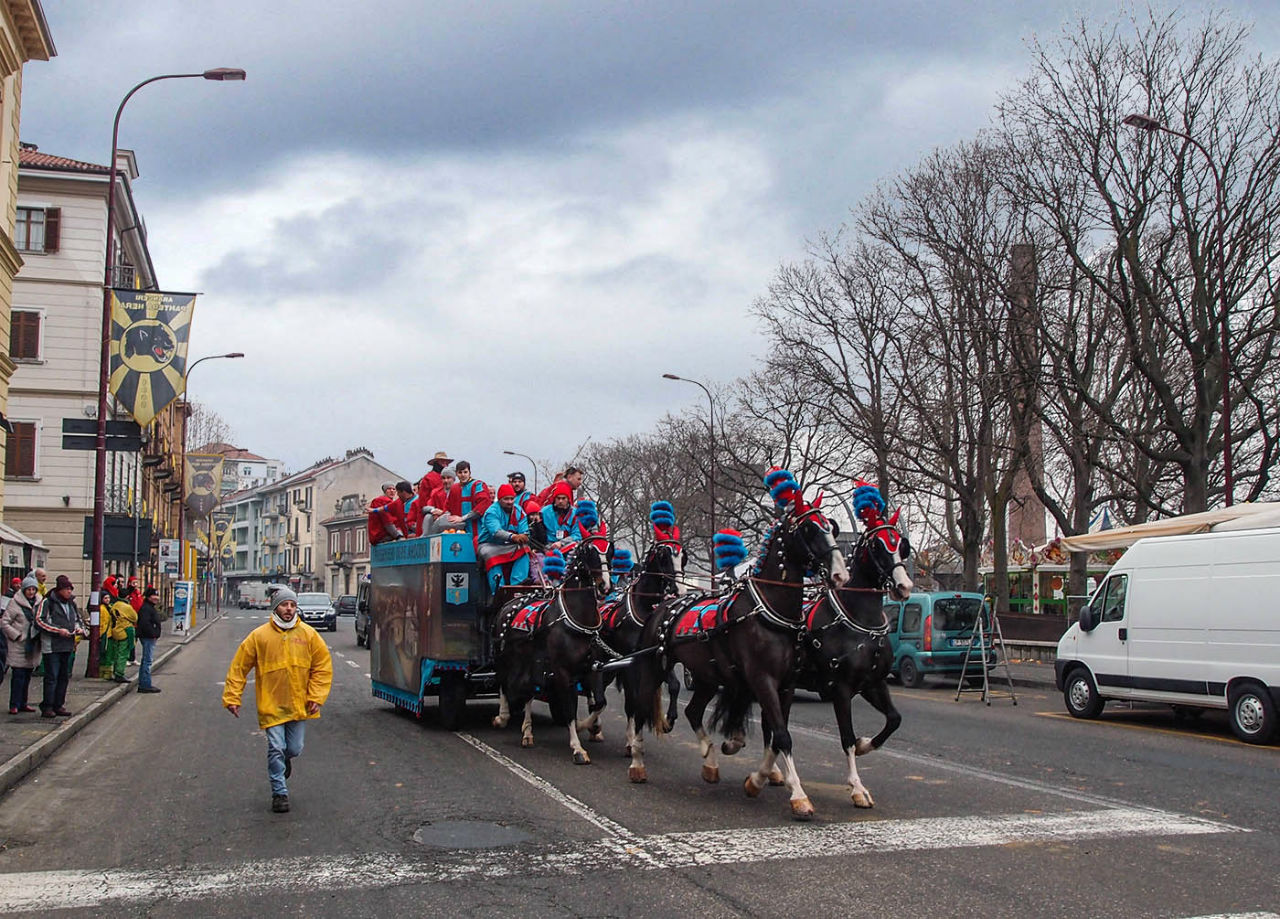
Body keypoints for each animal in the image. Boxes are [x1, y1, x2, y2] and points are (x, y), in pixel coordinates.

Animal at [488, 542, 609, 767]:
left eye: (610, 549)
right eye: (591, 551)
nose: (604, 585)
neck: (577, 620)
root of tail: (511, 602)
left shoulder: (592, 668)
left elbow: (599, 703)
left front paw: (585, 726)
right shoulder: (562, 672)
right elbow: (569, 708)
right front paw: (577, 748)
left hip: (529, 662)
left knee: (527, 690)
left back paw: (527, 732)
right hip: (505, 656)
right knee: (503, 682)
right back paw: (502, 717)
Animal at [632, 496, 849, 819]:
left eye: (831, 527)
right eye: (809, 528)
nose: (840, 574)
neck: (770, 613)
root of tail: (664, 606)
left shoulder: (786, 685)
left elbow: (775, 735)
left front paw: (757, 779)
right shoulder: (763, 680)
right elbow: (782, 736)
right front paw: (799, 796)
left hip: (706, 676)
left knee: (693, 711)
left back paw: (709, 761)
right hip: (654, 667)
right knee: (640, 707)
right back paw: (636, 762)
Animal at [793, 514, 916, 808]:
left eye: (901, 545)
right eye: (878, 546)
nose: (904, 586)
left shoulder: (873, 684)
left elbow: (894, 719)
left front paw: (865, 745)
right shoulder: (841, 688)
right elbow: (846, 737)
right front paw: (858, 788)